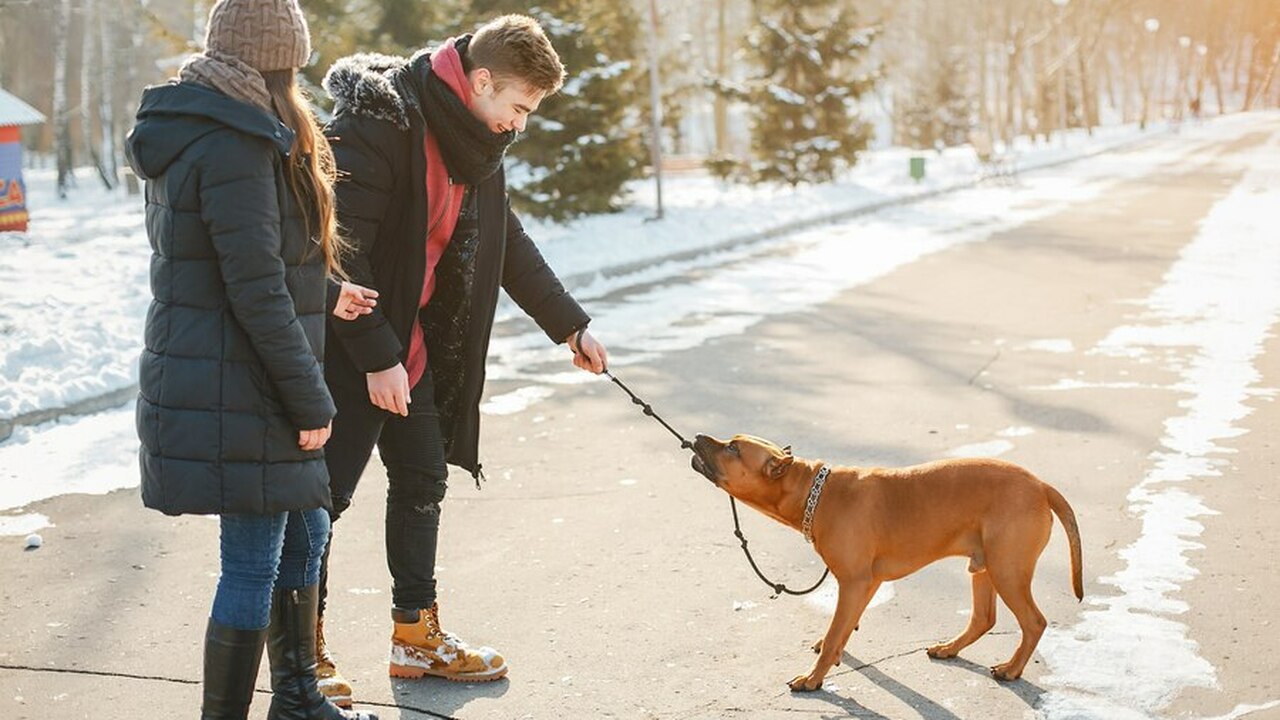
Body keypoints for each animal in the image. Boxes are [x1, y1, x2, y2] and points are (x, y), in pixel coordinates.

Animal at [691, 430, 1080, 691]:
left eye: (733, 448)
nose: (696, 436)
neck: (813, 491)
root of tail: (1041, 485)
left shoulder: (854, 582)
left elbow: (835, 633)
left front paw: (814, 677)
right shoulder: (865, 582)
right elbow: (842, 628)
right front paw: (834, 653)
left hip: (1007, 570)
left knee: (1034, 622)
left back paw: (1012, 669)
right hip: (984, 565)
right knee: (984, 618)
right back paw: (949, 648)